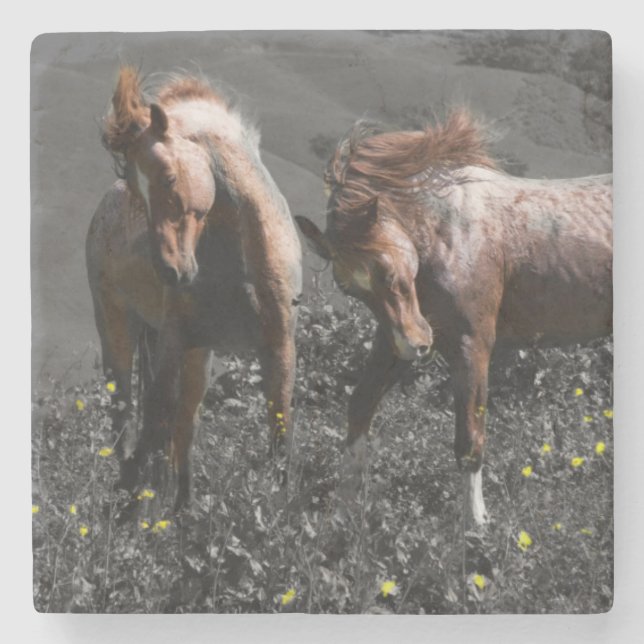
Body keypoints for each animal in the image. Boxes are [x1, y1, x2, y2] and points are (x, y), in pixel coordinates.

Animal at [86, 67, 302, 511]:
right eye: (135, 190)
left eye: (169, 178)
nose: (171, 271)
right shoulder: (172, 341)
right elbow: (154, 421)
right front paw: (133, 506)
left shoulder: (279, 348)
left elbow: (279, 432)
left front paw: (281, 512)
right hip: (119, 330)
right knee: (126, 417)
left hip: (198, 357)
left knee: (185, 425)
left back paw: (183, 507)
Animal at [296, 110, 612, 526]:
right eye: (351, 290)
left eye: (388, 272)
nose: (418, 346)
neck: (448, 233)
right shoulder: (393, 340)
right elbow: (360, 406)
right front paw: (342, 510)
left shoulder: (471, 347)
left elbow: (469, 439)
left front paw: (475, 525)